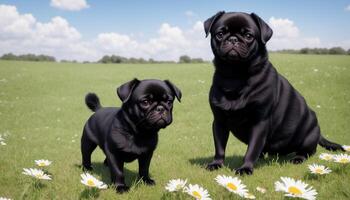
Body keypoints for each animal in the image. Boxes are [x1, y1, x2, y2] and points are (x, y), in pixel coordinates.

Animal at [204, 11, 344, 176]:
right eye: (220, 34)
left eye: (248, 36)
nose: (233, 39)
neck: (235, 76)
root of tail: (318, 130)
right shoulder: (219, 121)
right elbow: (219, 147)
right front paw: (216, 164)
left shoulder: (259, 122)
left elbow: (252, 149)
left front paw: (246, 168)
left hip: (308, 136)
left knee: (307, 151)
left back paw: (298, 158)